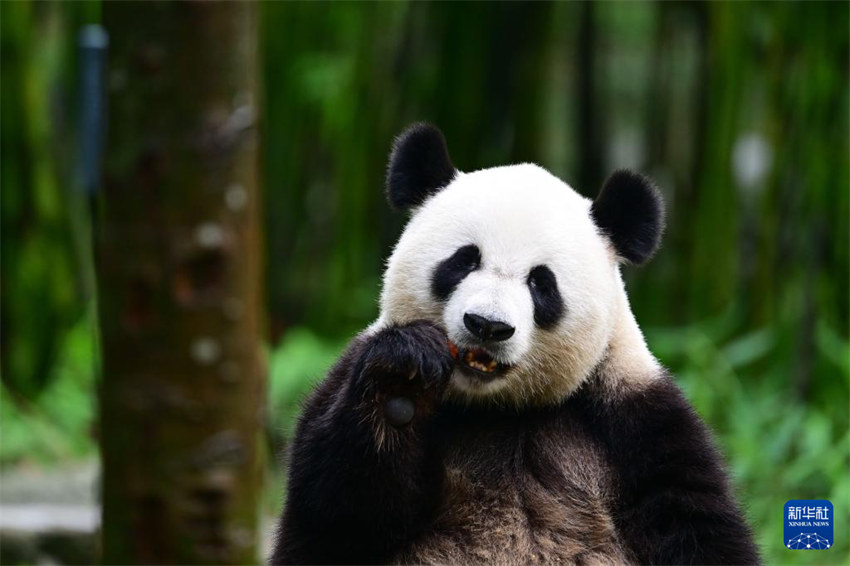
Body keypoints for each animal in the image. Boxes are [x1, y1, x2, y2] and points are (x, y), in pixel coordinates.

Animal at [271, 124, 759, 565]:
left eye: (541, 283)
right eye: (464, 260)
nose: (487, 326)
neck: (500, 410)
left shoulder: (638, 421)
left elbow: (697, 525)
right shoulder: (346, 378)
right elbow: (339, 511)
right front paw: (402, 385)